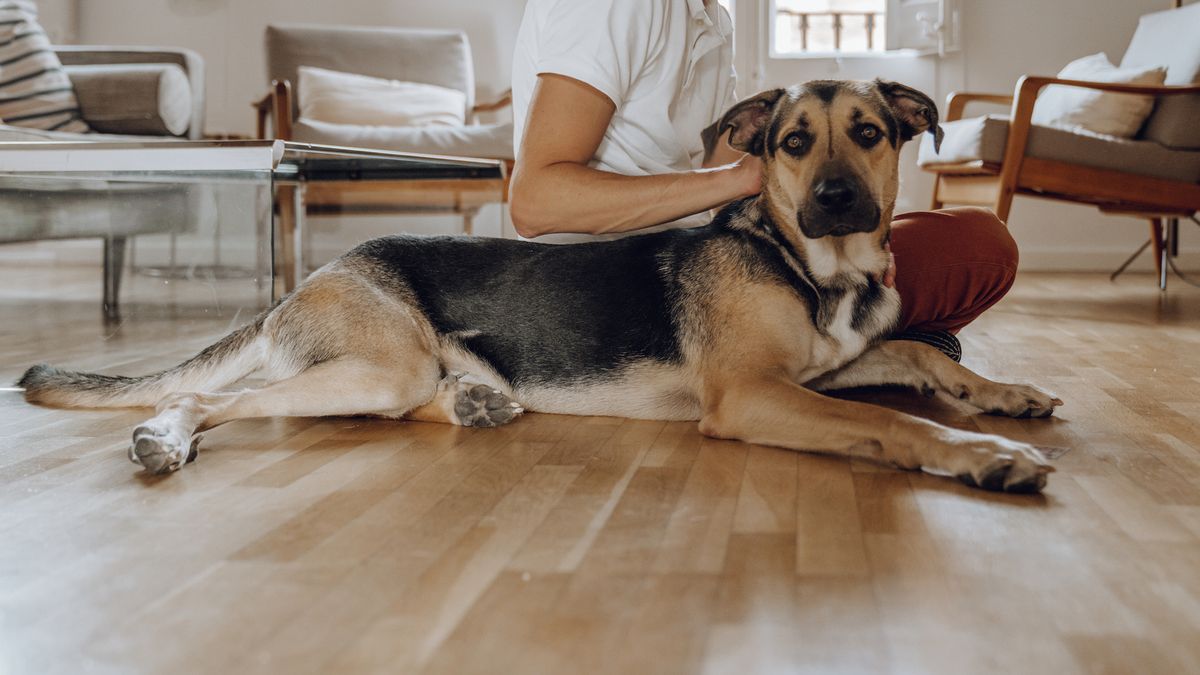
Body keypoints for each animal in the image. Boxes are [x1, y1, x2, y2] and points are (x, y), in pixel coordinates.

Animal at [18, 79, 1060, 487]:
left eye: (871, 133)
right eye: (792, 143)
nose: (837, 201)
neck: (812, 269)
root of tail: (304, 281)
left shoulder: (820, 368)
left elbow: (919, 350)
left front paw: (1006, 392)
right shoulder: (752, 395)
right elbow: (893, 422)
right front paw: (981, 452)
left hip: (388, 375)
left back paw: (476, 403)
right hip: (382, 361)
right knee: (208, 396)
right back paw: (163, 438)